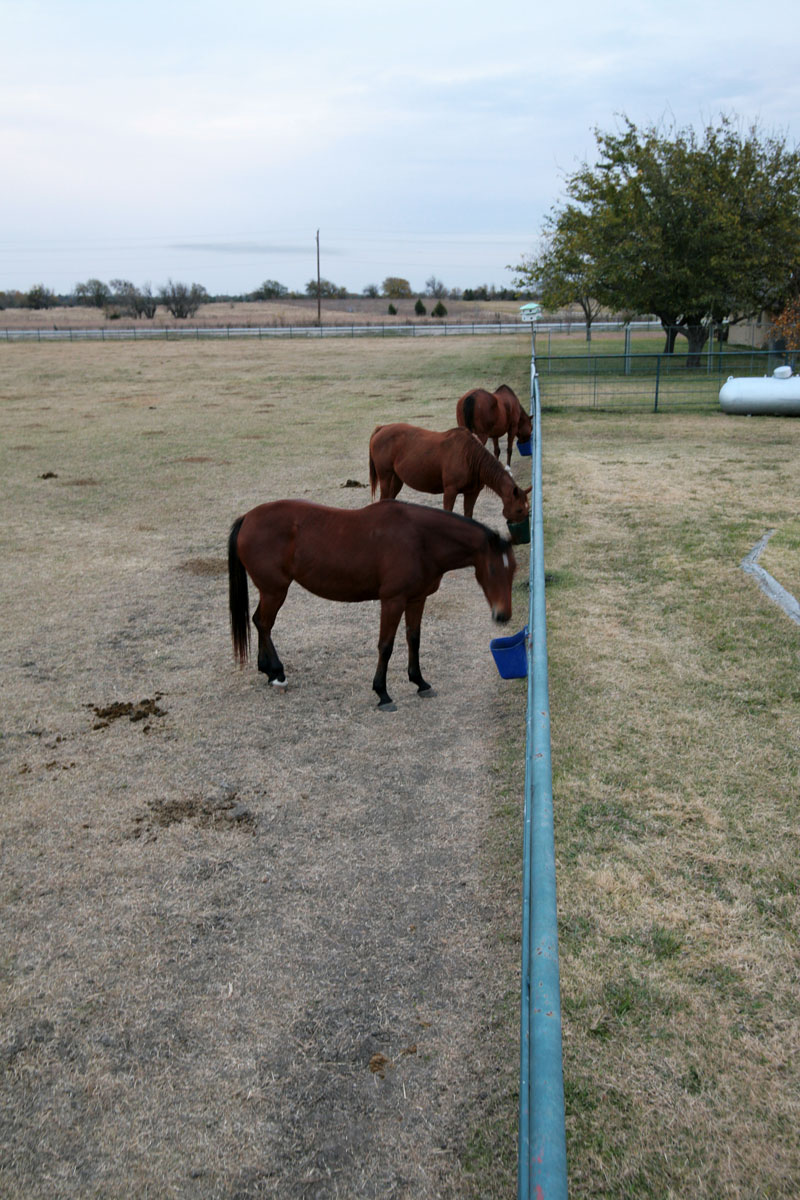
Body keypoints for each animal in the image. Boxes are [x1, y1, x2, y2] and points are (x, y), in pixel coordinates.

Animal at [228, 499, 516, 710]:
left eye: (513, 568)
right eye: (492, 569)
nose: (502, 615)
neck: (420, 539)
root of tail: (248, 518)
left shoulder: (416, 599)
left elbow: (414, 639)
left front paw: (420, 682)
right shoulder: (392, 600)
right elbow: (386, 646)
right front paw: (382, 693)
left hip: (270, 591)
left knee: (259, 622)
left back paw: (267, 670)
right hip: (274, 590)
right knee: (264, 623)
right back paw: (277, 674)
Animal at [368, 423, 531, 524]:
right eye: (519, 510)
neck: (469, 457)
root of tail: (382, 428)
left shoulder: (472, 493)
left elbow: (468, 515)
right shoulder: (450, 491)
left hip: (396, 480)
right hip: (385, 478)